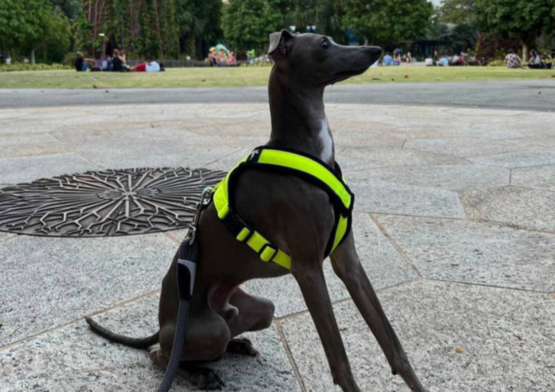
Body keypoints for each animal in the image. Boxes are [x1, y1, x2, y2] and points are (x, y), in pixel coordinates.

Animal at [86, 30, 426, 392]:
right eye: (323, 44)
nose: (375, 50)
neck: (307, 151)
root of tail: (165, 323)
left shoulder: (347, 261)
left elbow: (394, 346)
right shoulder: (308, 268)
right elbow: (339, 360)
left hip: (260, 308)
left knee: (219, 336)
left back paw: (237, 346)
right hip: (208, 328)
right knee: (162, 355)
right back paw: (200, 372)